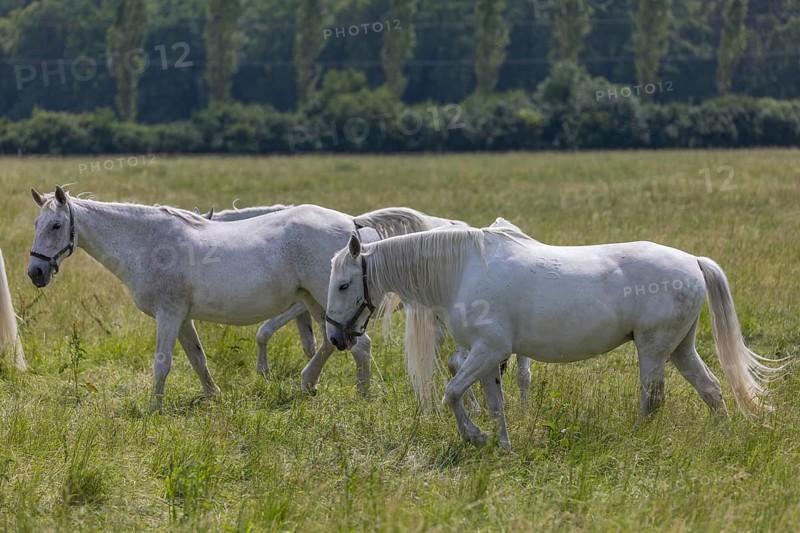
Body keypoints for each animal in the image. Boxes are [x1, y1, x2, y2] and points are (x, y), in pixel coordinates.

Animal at [27, 186, 431, 409]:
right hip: (320, 304)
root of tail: (351, 223)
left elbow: (162, 364)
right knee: (334, 343)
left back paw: (360, 397)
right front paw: (212, 395)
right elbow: (197, 359)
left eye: (57, 225)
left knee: (358, 347)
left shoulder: (169, 315)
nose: (35, 272)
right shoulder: (182, 318)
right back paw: (309, 383)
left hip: (329, 300)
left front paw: (154, 409)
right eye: (36, 224)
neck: (148, 243)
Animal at [325, 220, 785, 448]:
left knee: (653, 399)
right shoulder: (487, 356)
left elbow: (452, 394)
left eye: (345, 284)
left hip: (653, 350)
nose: (335, 339)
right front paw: (502, 445)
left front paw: (475, 437)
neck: (460, 270)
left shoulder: (487, 350)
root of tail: (692, 261)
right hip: (680, 349)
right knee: (711, 389)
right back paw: (722, 436)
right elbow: (493, 403)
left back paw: (637, 439)